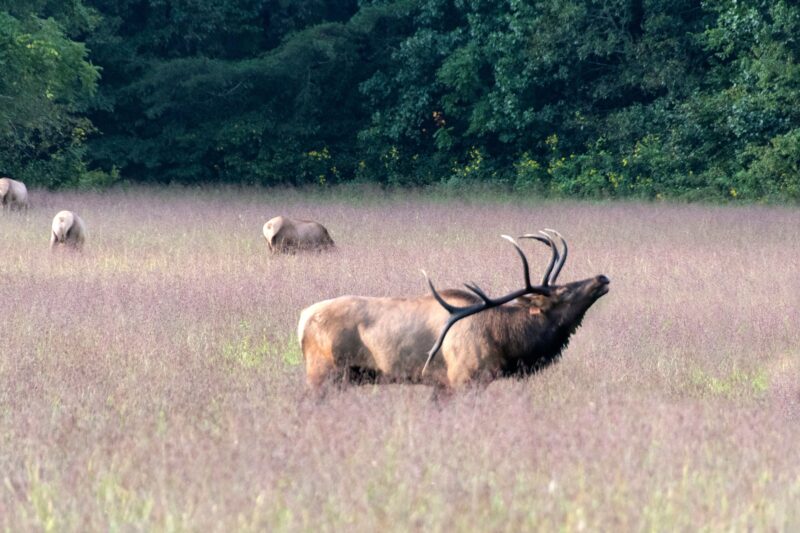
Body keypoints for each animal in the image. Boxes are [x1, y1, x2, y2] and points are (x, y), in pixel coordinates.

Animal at [298, 230, 609, 389]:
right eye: (563, 292)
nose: (602, 278)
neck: (505, 342)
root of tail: (301, 320)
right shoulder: (463, 378)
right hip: (322, 372)